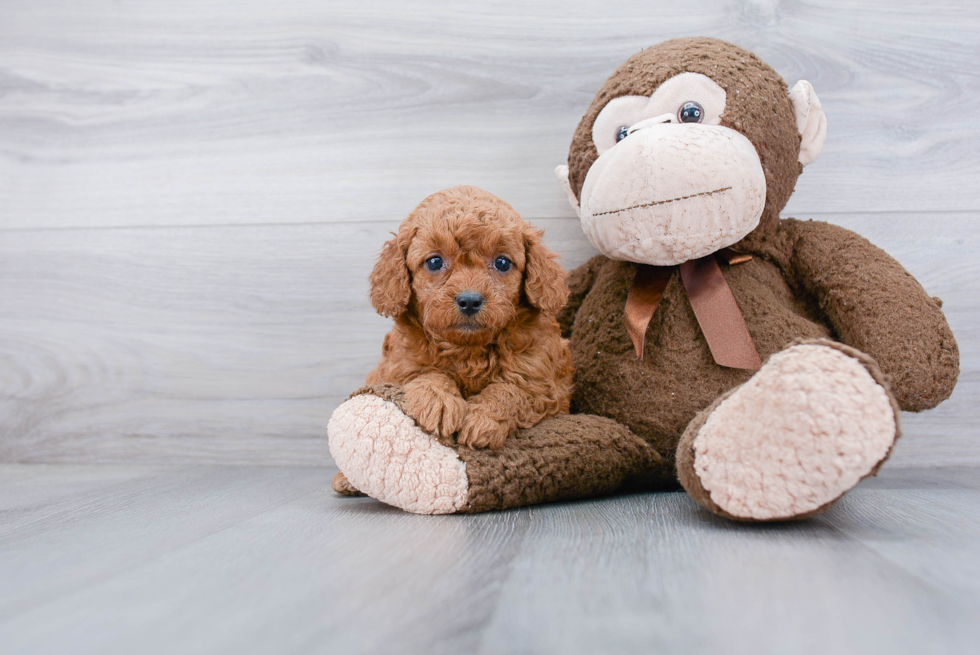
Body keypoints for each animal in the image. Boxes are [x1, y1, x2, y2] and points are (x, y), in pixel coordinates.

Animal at [366, 187, 576, 448]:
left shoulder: (547, 385)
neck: (468, 350)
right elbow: (424, 373)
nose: (469, 301)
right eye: (434, 261)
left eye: (502, 262)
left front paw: (483, 419)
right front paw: (438, 402)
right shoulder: (394, 369)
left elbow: (514, 389)